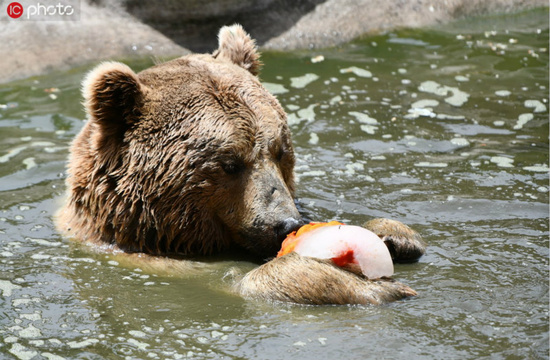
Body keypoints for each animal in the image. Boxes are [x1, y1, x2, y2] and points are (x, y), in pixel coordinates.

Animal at [56, 25, 426, 306]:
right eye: (230, 163)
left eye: (280, 151)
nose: (286, 224)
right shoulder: (162, 265)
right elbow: (241, 278)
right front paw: (369, 284)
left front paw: (393, 234)